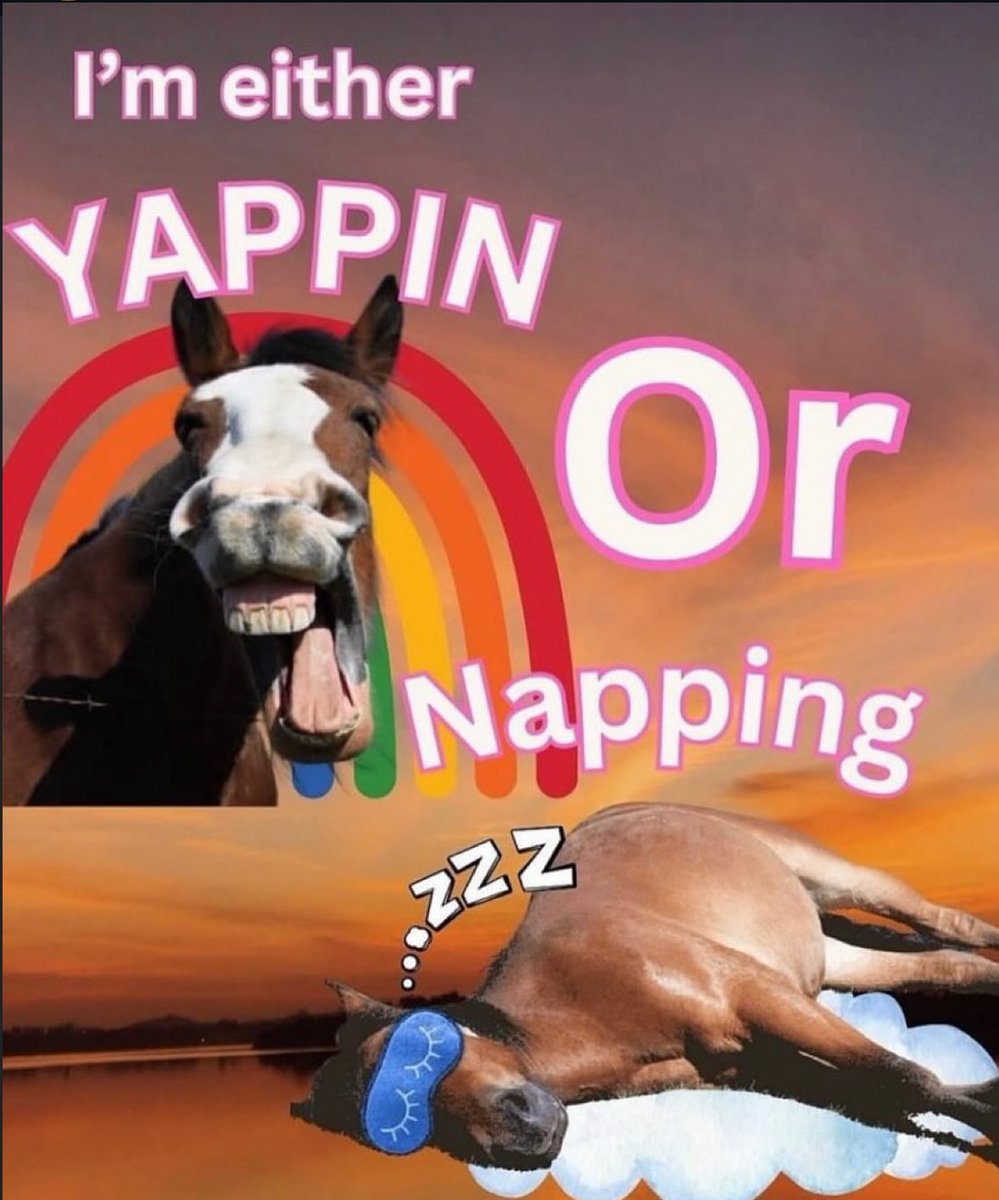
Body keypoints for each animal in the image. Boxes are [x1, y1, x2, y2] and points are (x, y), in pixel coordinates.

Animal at [295, 802, 999, 1169]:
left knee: (946, 924)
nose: (522, 1132)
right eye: (396, 1121)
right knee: (947, 961)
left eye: (427, 1044)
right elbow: (884, 1087)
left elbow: (905, 1075)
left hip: (839, 880)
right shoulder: (756, 1059)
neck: (585, 1006)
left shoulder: (759, 996)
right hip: (830, 958)